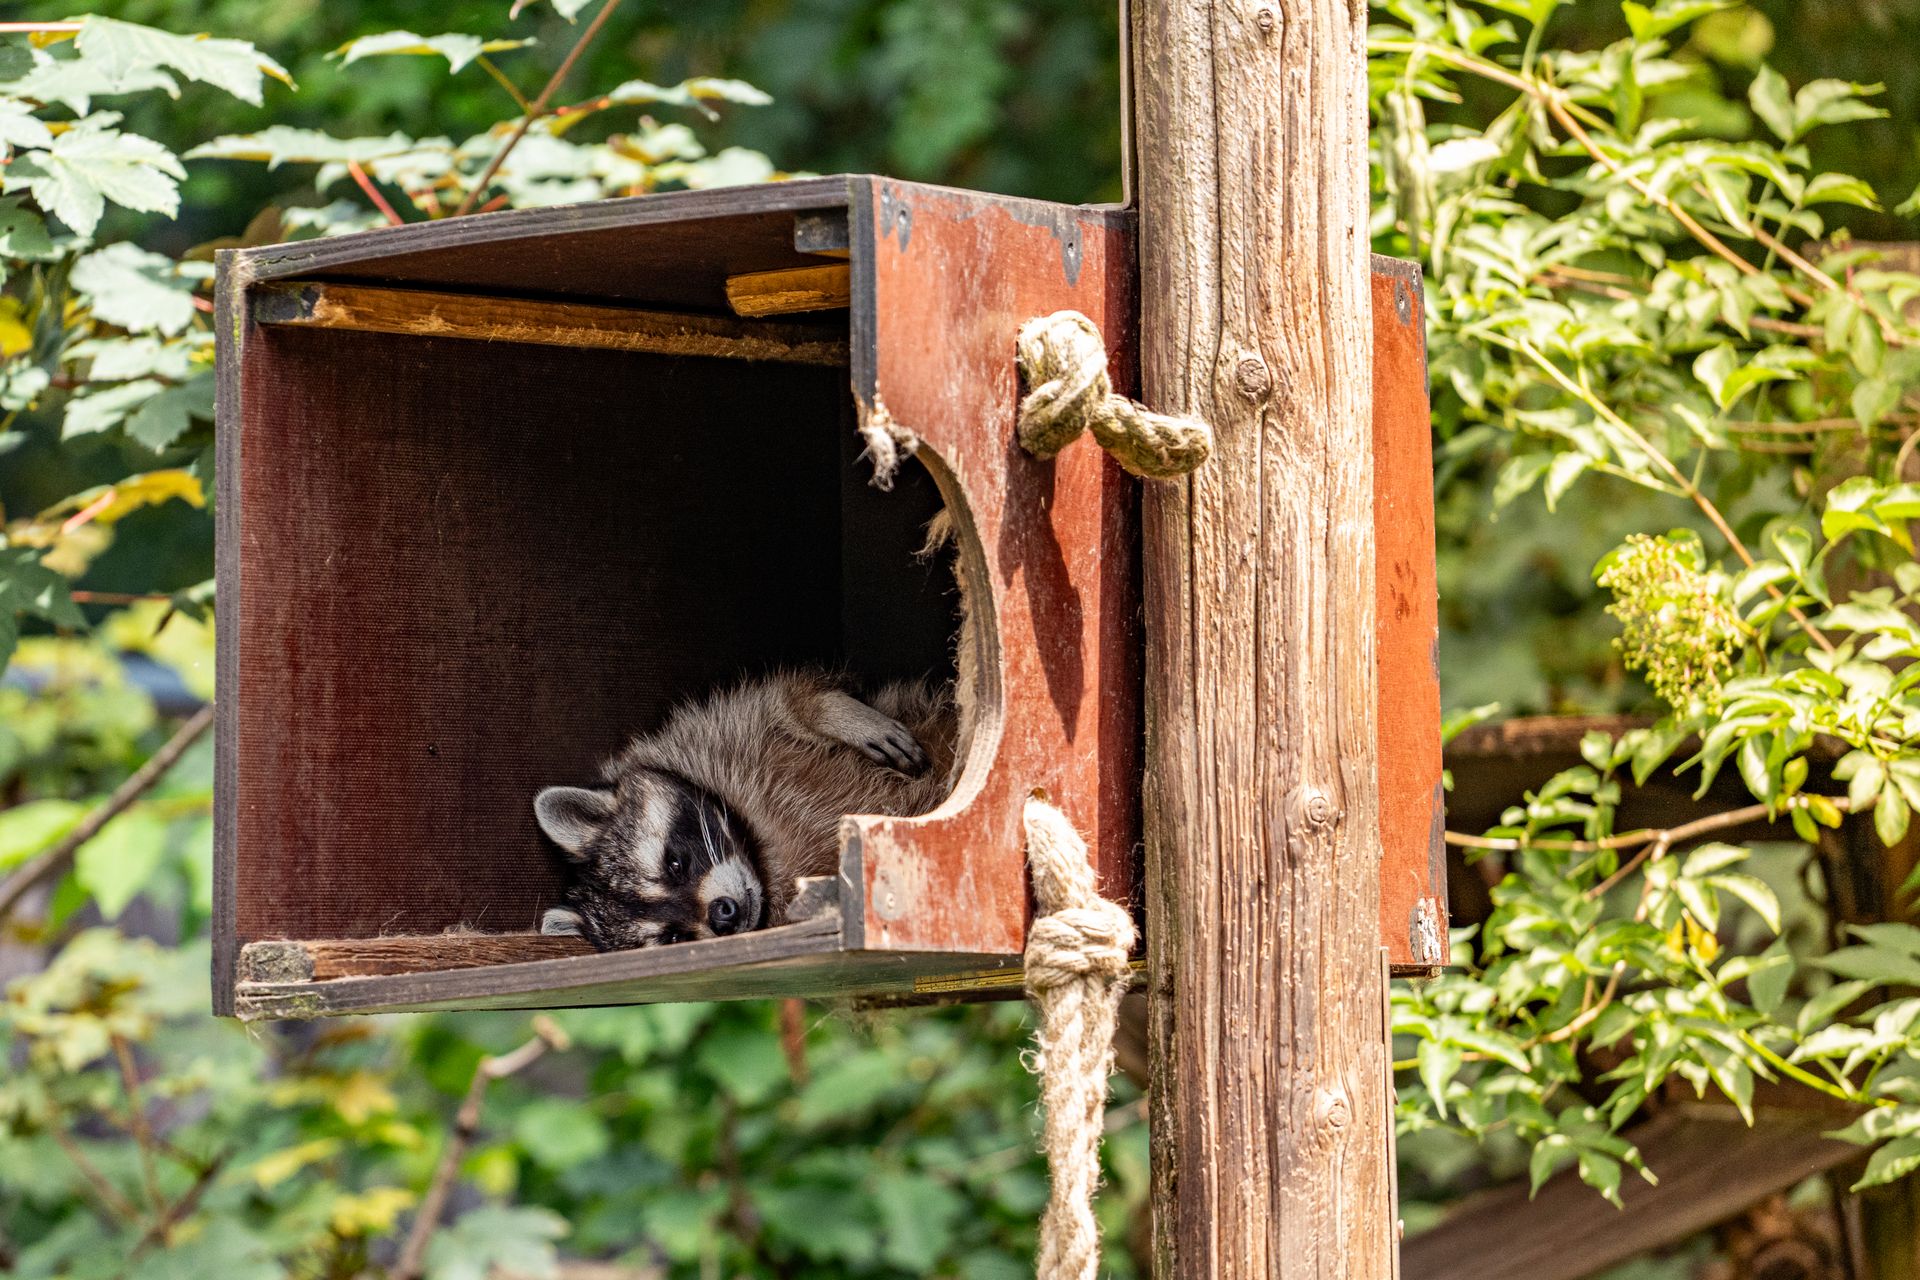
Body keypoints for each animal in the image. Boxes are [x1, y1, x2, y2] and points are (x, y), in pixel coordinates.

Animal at [535, 670, 957, 950]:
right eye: (674, 936)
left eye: (675, 864)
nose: (724, 915)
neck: (757, 850)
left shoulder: (719, 730)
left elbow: (781, 702)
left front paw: (826, 710)